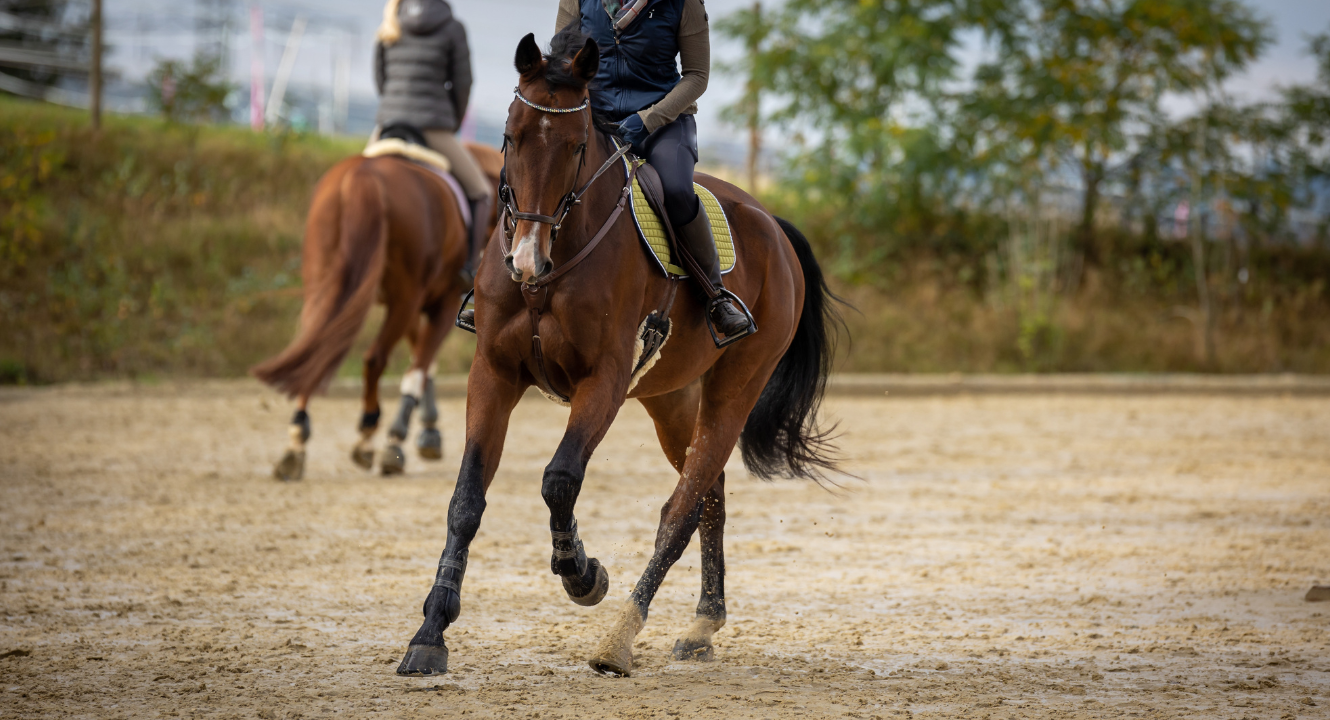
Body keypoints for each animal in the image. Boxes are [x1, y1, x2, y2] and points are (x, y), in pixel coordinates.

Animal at [251, 141, 500, 479]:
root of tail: (363, 174)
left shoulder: (414, 305)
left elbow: (422, 361)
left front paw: (428, 431)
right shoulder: (442, 302)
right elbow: (420, 363)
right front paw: (401, 439)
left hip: (326, 284)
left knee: (316, 352)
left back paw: (296, 444)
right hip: (406, 297)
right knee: (374, 358)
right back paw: (371, 437)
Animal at [393, 30, 840, 676]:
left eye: (579, 145)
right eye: (510, 135)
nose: (525, 258)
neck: (555, 266)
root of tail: (771, 224)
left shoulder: (602, 381)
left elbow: (559, 479)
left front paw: (582, 573)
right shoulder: (494, 374)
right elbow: (466, 500)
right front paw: (431, 632)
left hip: (735, 388)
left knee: (681, 511)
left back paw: (620, 637)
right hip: (672, 399)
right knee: (709, 495)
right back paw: (703, 624)